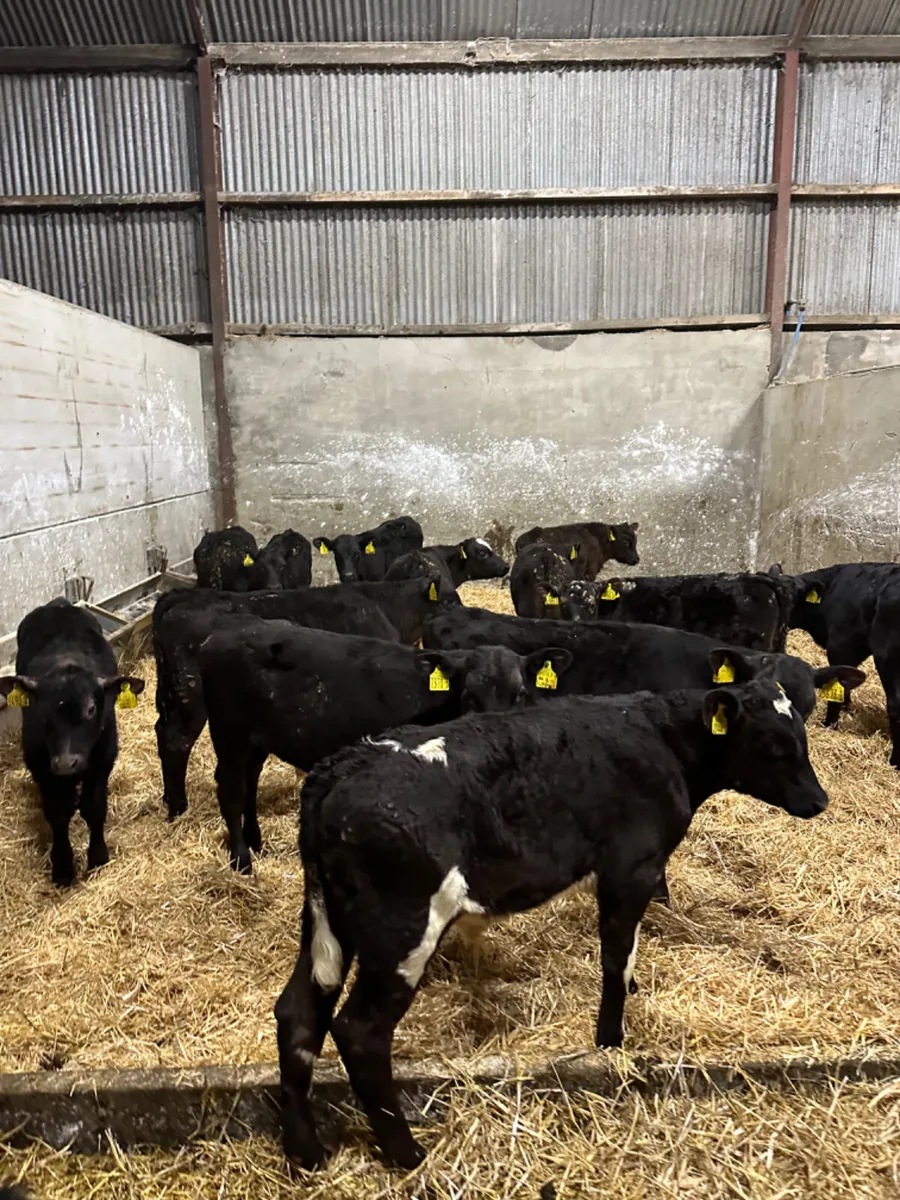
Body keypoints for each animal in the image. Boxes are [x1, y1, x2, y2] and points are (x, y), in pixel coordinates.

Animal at [0, 600, 144, 886]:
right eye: (41, 711)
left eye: (91, 708)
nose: (67, 763)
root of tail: (59, 603)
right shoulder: (42, 768)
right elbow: (58, 813)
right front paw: (63, 866)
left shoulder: (103, 761)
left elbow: (94, 807)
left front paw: (98, 856)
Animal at [198, 617, 572, 872]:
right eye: (469, 698)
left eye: (520, 694)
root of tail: (221, 635)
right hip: (229, 735)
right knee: (231, 791)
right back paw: (241, 860)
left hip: (255, 740)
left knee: (250, 783)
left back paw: (255, 841)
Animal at [275, 675, 828, 1170]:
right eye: (772, 743)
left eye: (801, 735)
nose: (819, 800)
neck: (661, 738)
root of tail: (343, 765)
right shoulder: (629, 871)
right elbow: (616, 958)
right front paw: (610, 1041)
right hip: (402, 930)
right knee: (360, 1032)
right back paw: (406, 1153)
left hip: (326, 924)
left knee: (298, 1014)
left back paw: (307, 1153)